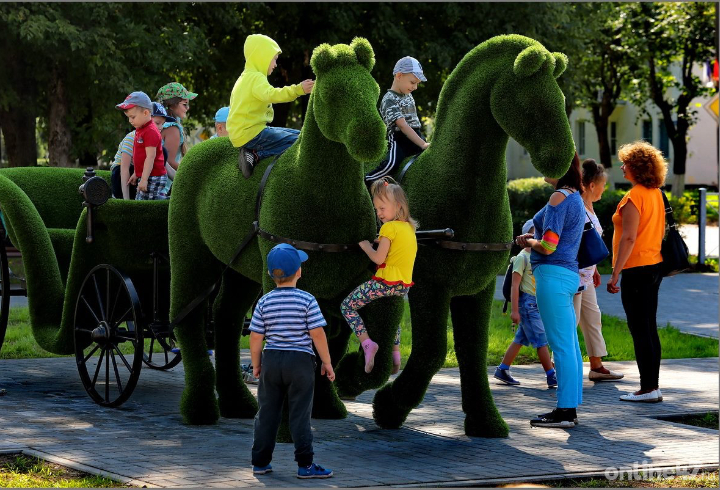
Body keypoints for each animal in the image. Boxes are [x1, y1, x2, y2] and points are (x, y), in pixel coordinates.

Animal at [167, 38, 408, 424]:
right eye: (335, 94)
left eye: (372, 90)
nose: (373, 140)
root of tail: (194, 154)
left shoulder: (350, 282)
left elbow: (355, 343)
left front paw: (332, 396)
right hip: (192, 256)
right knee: (187, 319)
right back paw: (200, 406)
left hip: (240, 269)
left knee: (226, 317)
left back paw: (237, 401)